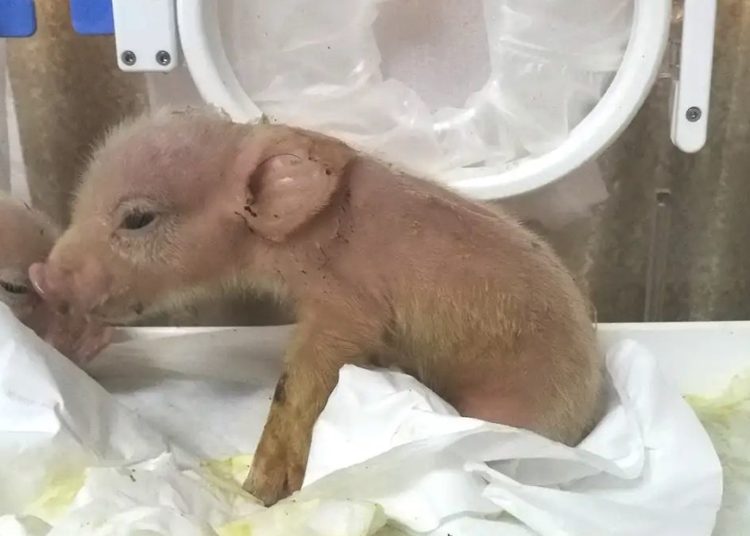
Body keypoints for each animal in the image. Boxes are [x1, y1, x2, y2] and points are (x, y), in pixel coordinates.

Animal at [29, 107, 604, 506]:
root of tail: (587, 412)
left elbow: (303, 379)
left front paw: (259, 491)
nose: (41, 275)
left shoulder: (346, 306)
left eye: (138, 219)